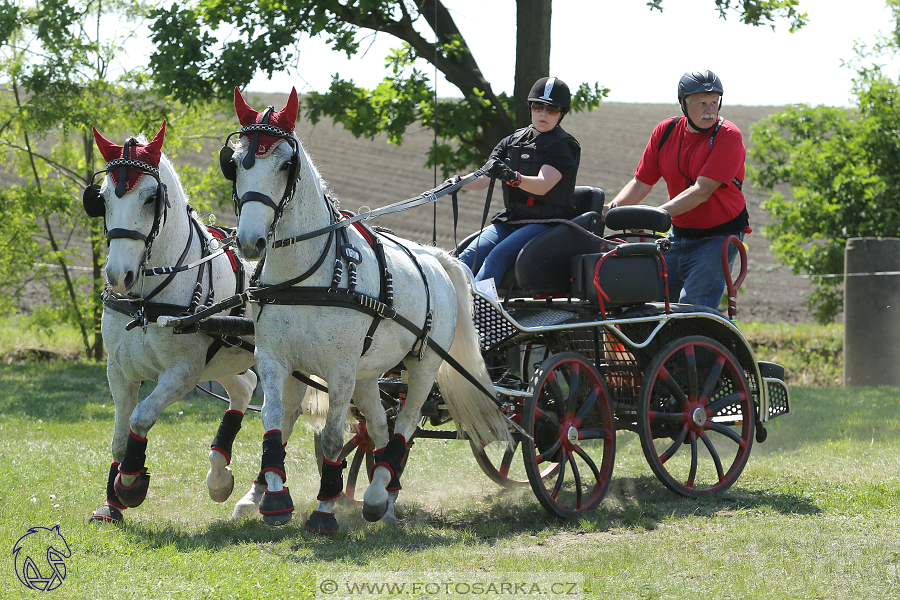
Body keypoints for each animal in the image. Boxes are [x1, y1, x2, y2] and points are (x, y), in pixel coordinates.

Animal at [85, 123, 324, 524]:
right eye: (101, 199)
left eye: (150, 198)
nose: (119, 276)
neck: (147, 302)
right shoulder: (118, 369)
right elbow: (118, 437)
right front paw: (111, 503)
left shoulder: (183, 371)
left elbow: (140, 418)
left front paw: (131, 483)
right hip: (226, 357)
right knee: (244, 389)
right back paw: (221, 476)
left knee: (284, 414)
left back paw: (262, 491)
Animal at [225, 86, 512, 532]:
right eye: (236, 163)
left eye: (286, 164)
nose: (250, 241)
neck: (307, 277)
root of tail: (435, 258)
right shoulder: (275, 358)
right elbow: (273, 420)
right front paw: (271, 499)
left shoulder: (340, 369)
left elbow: (330, 438)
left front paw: (324, 512)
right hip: (368, 372)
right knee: (378, 429)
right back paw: (384, 498)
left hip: (423, 364)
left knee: (404, 426)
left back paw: (380, 495)